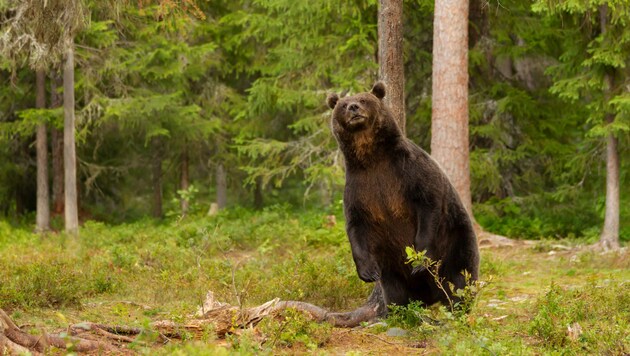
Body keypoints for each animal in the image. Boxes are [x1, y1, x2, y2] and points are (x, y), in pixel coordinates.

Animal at [328, 82, 482, 308]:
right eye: (343, 105)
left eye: (364, 99)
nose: (353, 108)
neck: (372, 157)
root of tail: (430, 296)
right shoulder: (359, 188)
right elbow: (356, 225)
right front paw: (367, 272)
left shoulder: (408, 170)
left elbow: (428, 203)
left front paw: (420, 259)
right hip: (391, 265)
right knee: (395, 291)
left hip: (455, 237)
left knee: (460, 276)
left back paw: (457, 305)